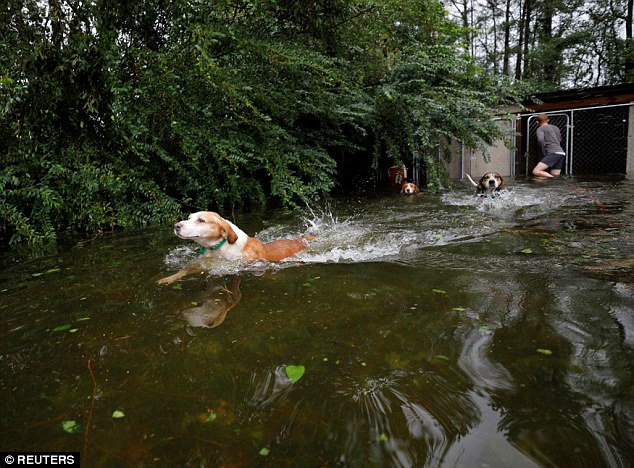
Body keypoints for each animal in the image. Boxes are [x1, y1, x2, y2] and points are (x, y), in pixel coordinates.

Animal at [158, 212, 312, 286]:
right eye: (189, 218)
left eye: (201, 220)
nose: (176, 225)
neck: (218, 249)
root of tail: (298, 240)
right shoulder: (202, 264)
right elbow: (183, 271)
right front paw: (168, 279)